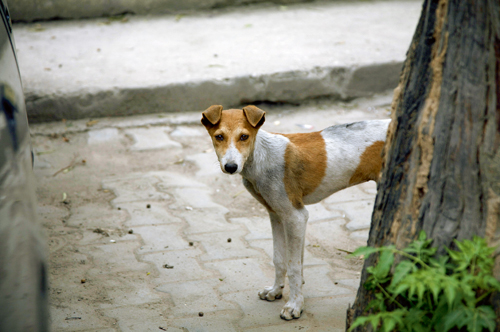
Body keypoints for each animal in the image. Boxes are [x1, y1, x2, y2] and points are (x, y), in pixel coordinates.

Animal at [201, 105, 388, 320]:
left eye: (244, 136)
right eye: (219, 136)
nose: (231, 167)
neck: (261, 156)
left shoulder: (296, 216)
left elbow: (294, 266)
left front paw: (294, 305)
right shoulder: (276, 215)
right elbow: (279, 259)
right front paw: (276, 291)